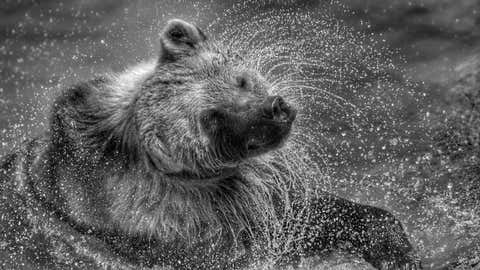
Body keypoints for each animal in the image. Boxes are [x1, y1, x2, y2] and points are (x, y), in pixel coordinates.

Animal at [0, 19, 420, 270]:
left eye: (240, 79)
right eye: (213, 117)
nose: (274, 109)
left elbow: (310, 213)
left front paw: (395, 249)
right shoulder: (178, 236)